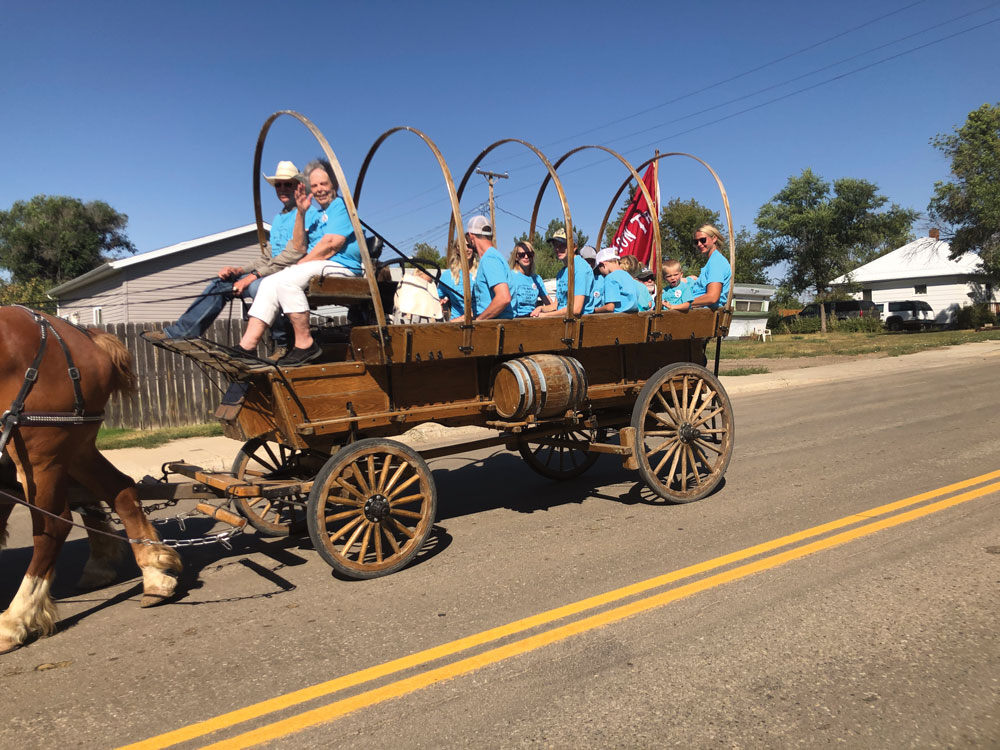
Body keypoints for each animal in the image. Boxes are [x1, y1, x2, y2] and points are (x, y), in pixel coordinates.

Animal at [0, 308, 180, 656]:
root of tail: (80, 336)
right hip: (75, 449)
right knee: (121, 490)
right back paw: (153, 572)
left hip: (42, 451)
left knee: (53, 526)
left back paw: (16, 619)